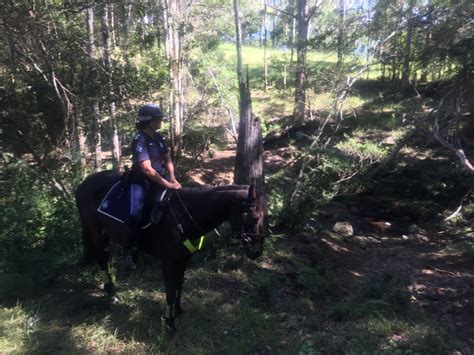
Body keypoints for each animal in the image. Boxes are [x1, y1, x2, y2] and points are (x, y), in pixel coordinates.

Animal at [76, 171, 264, 330]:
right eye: (254, 218)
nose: (257, 252)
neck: (183, 216)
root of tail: (83, 184)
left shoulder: (184, 258)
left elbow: (179, 285)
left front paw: (178, 310)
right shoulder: (168, 261)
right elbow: (170, 292)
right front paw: (169, 324)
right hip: (96, 234)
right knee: (103, 260)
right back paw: (112, 294)